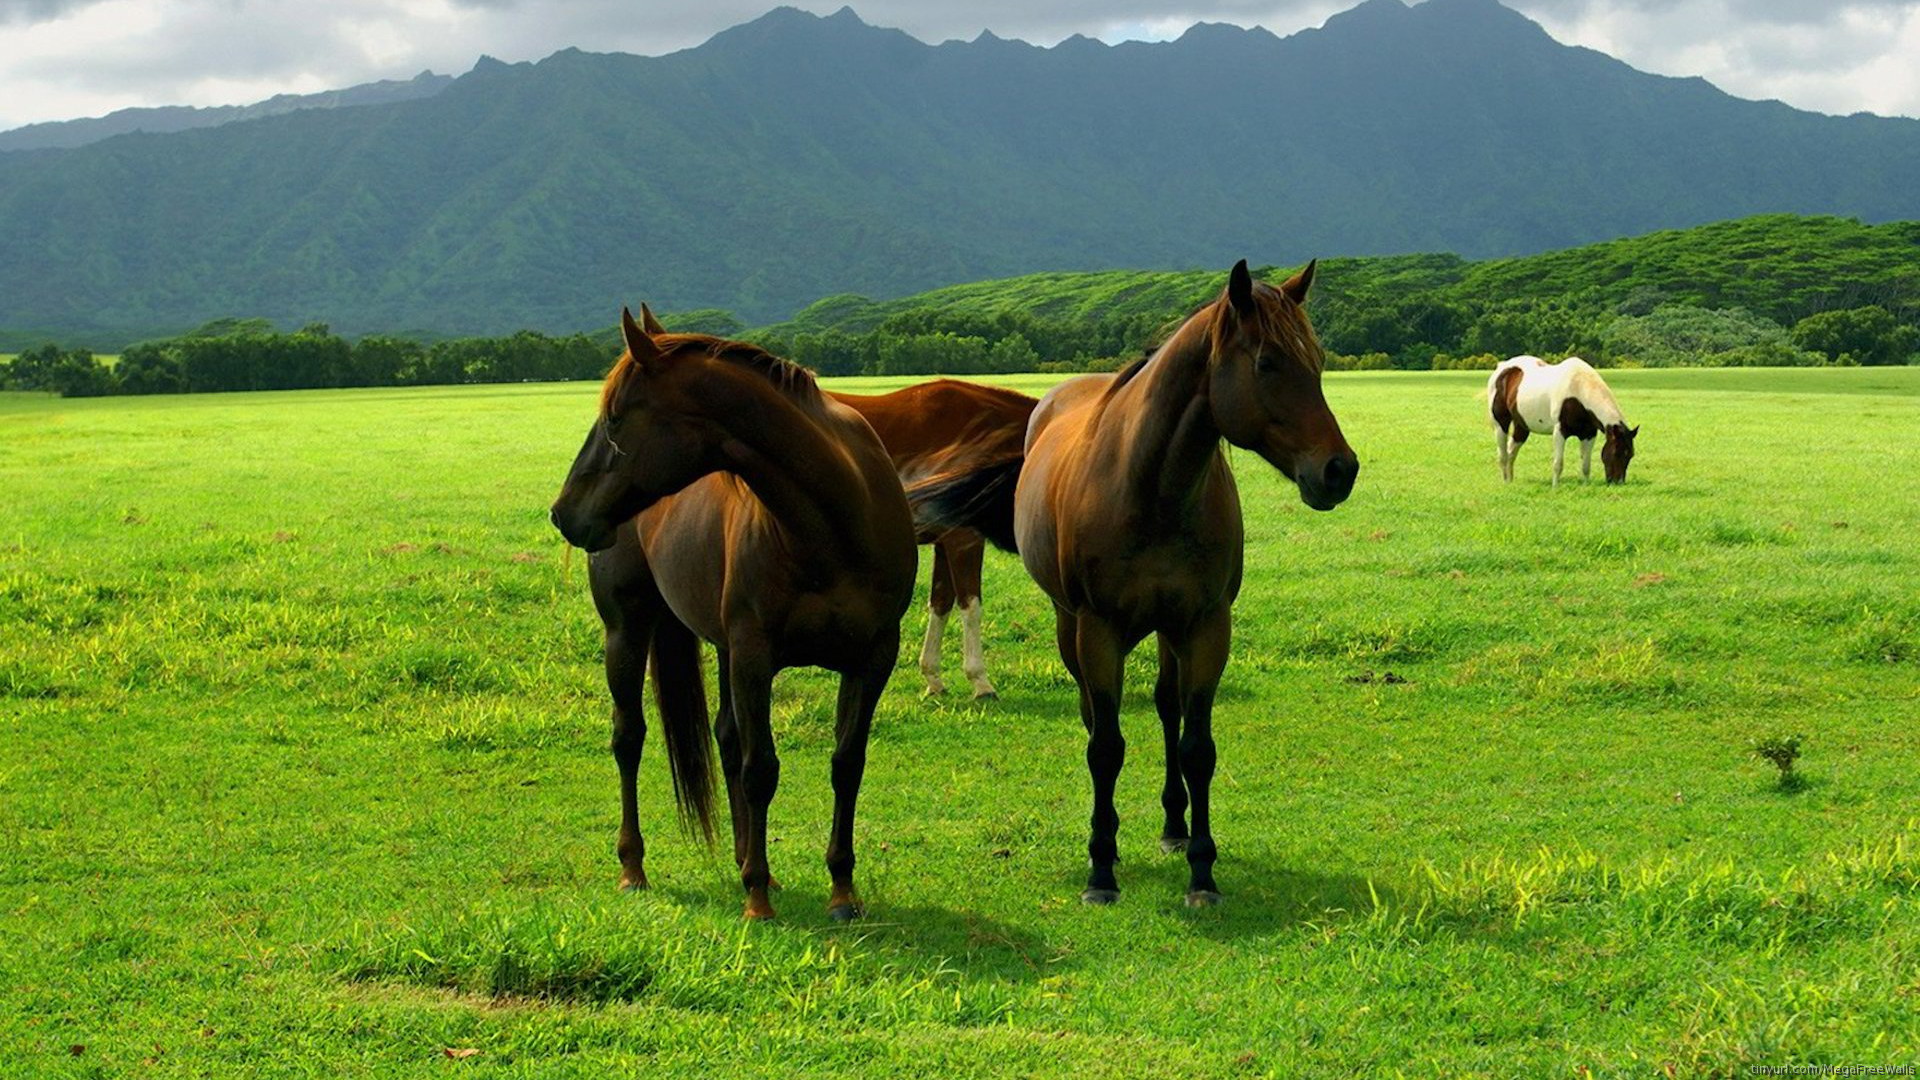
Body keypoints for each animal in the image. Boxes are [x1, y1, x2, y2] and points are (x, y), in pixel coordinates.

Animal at [552, 307, 917, 922]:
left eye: (616, 419)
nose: (563, 514)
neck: (833, 524)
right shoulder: (754, 655)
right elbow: (760, 768)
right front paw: (758, 899)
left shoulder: (872, 658)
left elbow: (846, 764)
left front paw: (841, 890)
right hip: (627, 632)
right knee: (630, 738)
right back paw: (635, 867)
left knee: (724, 736)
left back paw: (748, 857)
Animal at [998, 259, 1359, 899]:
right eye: (1267, 363)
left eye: (1317, 362)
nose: (1339, 470)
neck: (1151, 488)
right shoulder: (1098, 629)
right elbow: (1106, 746)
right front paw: (1101, 867)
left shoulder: (1205, 625)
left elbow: (1197, 747)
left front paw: (1202, 868)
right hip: (1071, 626)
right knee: (1094, 717)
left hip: (1168, 629)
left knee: (1168, 709)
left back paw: (1173, 825)